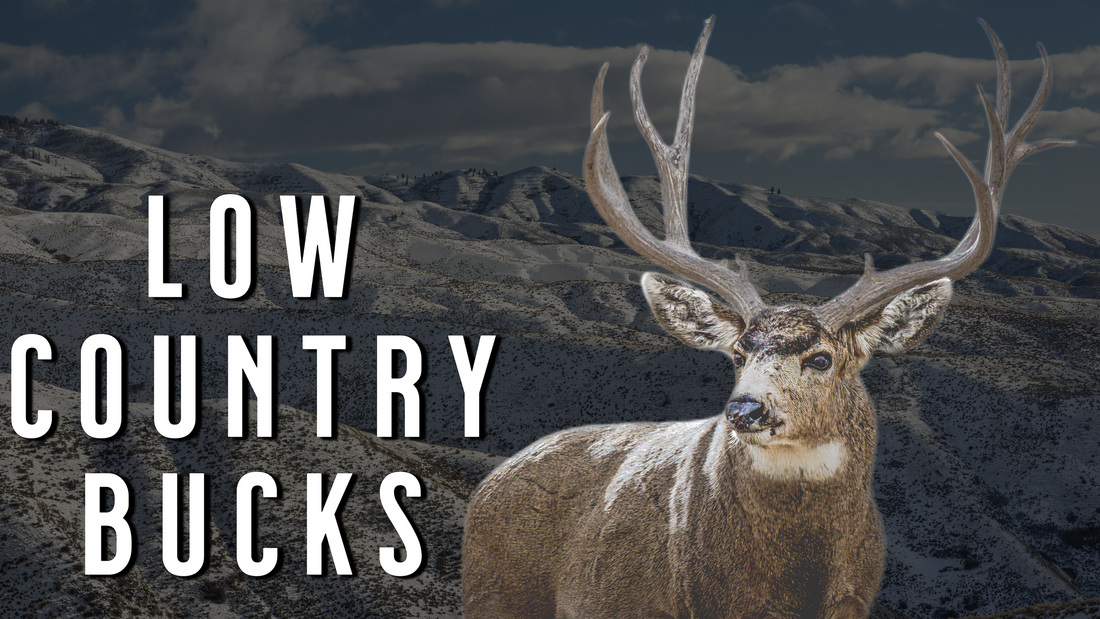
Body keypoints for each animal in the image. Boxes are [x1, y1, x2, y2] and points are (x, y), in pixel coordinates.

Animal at [462, 17, 1071, 619]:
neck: (800, 584)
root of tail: (488, 484)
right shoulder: (713, 600)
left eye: (821, 358)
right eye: (737, 352)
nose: (745, 408)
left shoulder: (857, 596)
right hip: (493, 593)